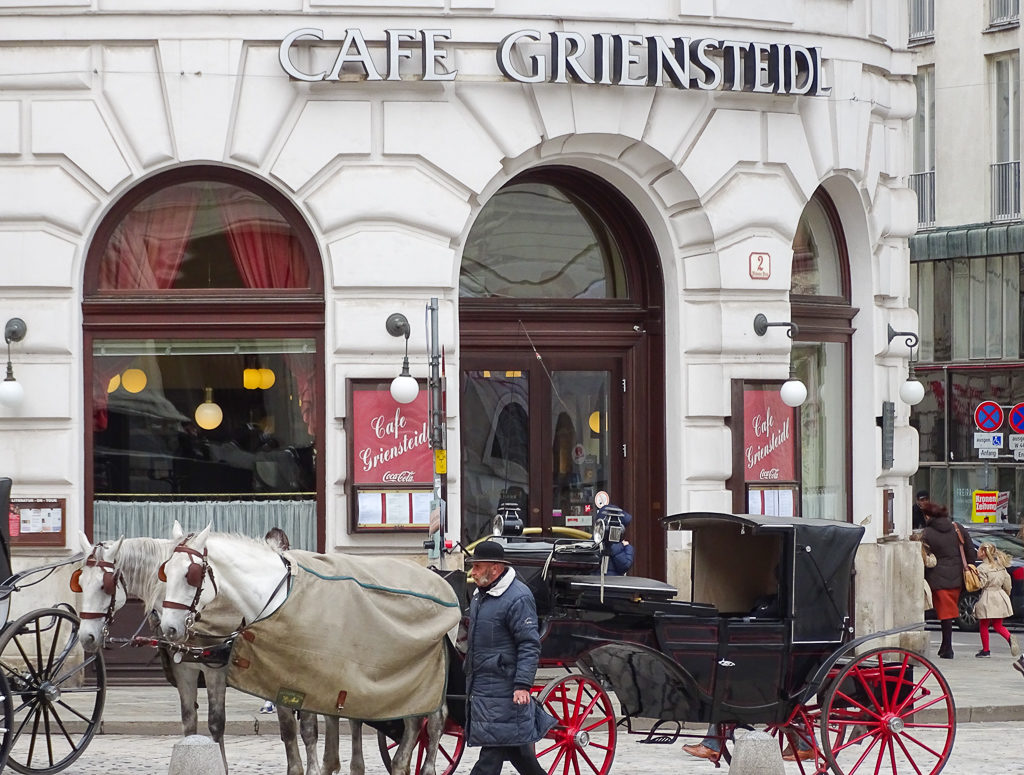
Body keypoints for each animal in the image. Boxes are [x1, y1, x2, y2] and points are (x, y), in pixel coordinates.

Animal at [73, 528, 344, 773]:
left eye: (105, 585)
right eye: (80, 584)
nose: (86, 637)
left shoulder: (216, 670)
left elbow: (216, 723)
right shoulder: (184, 670)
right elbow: (189, 723)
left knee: (309, 725)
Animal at [157, 522, 450, 773]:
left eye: (191, 575)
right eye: (165, 572)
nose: (169, 628)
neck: (279, 597)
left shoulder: (308, 676)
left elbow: (309, 729)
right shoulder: (277, 676)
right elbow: (288, 730)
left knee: (432, 720)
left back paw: (419, 766)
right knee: (410, 718)